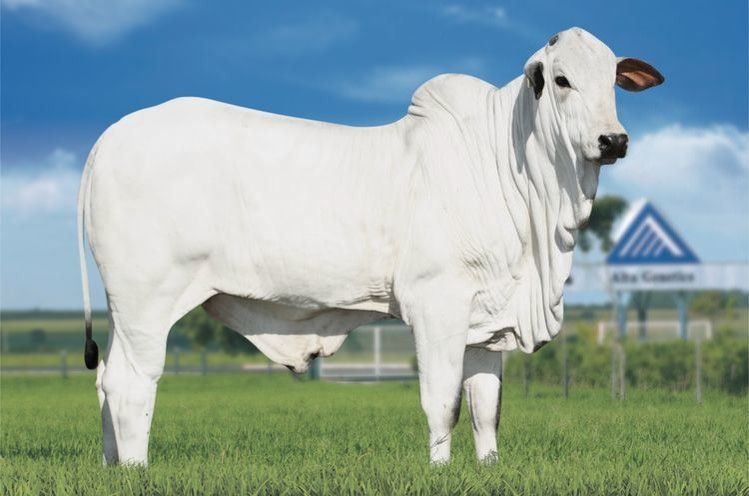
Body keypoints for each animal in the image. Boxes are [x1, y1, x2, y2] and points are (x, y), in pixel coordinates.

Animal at [78, 27, 663, 466]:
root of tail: (109, 137)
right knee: (132, 384)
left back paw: (111, 466)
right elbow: (443, 403)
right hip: (148, 300)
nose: (613, 141)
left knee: (106, 381)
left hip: (122, 308)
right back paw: (136, 470)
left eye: (612, 80)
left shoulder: (487, 318)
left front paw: (488, 467)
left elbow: (486, 408)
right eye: (562, 79)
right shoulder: (436, 305)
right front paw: (440, 470)